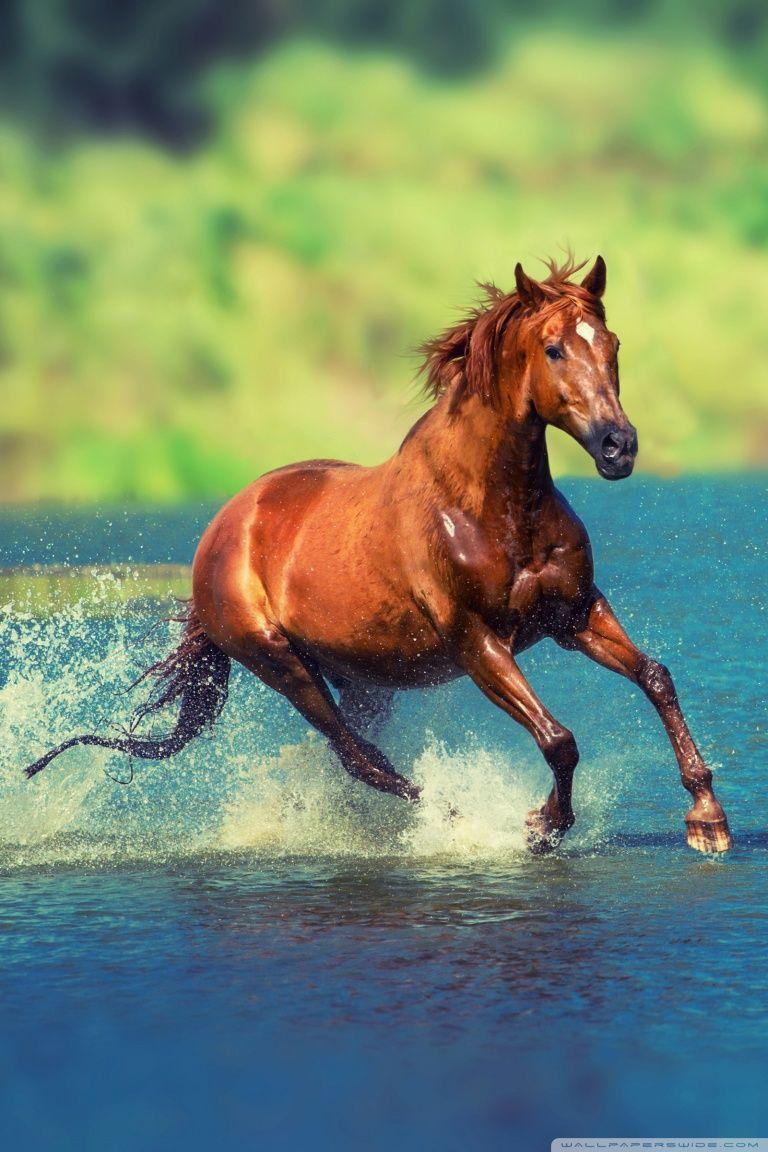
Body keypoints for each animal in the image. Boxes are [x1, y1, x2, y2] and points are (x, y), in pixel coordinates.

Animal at [24, 255, 732, 854]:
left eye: (612, 345)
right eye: (554, 347)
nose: (619, 447)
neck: (491, 507)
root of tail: (221, 532)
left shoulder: (573, 612)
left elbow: (656, 677)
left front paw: (707, 821)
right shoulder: (477, 640)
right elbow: (558, 740)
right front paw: (541, 826)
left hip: (362, 675)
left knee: (358, 755)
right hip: (280, 663)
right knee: (360, 757)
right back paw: (453, 819)